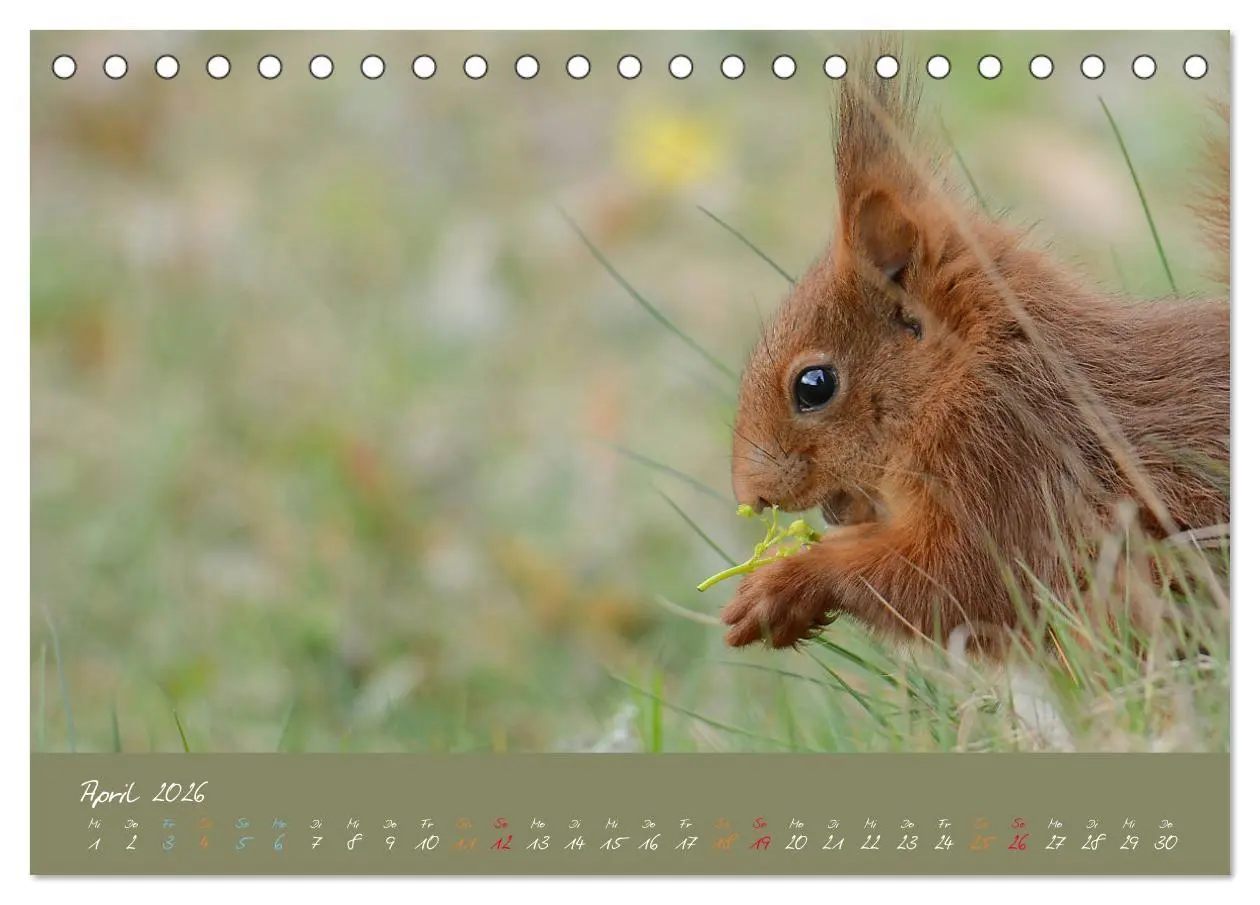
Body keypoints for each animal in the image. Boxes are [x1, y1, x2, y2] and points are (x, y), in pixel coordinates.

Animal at [721, 48, 1230, 654]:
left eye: (814, 385)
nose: (751, 494)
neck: (968, 370)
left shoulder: (1012, 464)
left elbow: (961, 582)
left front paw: (783, 586)